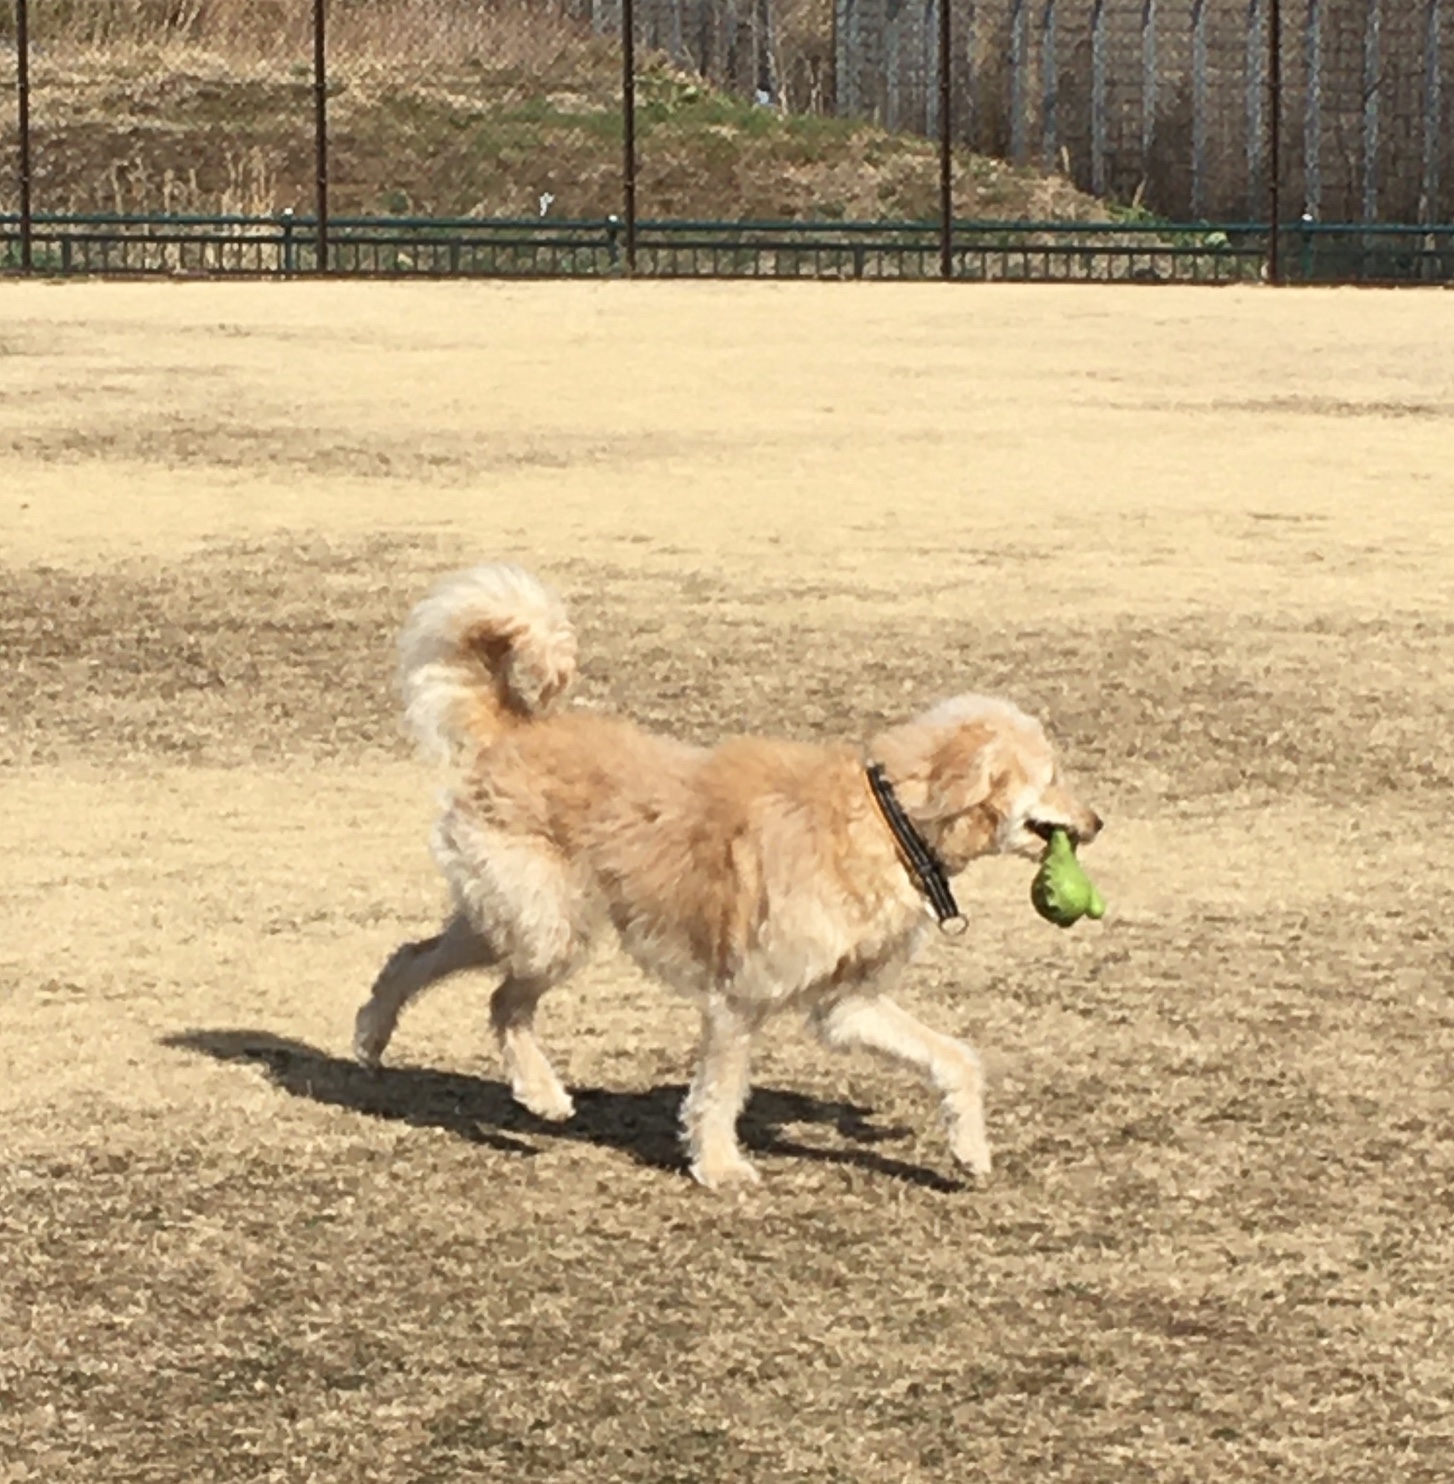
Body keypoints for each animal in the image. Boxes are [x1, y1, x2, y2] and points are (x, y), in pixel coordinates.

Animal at [354, 564, 1102, 1188]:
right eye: (1053, 775)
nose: (1096, 822)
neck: (889, 822)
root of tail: (512, 730)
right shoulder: (740, 999)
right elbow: (719, 1092)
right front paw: (718, 1168)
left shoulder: (847, 1003)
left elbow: (954, 1059)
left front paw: (969, 1151)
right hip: (549, 929)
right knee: (503, 1002)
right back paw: (539, 1094)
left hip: (509, 915)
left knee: (414, 957)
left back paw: (371, 1036)